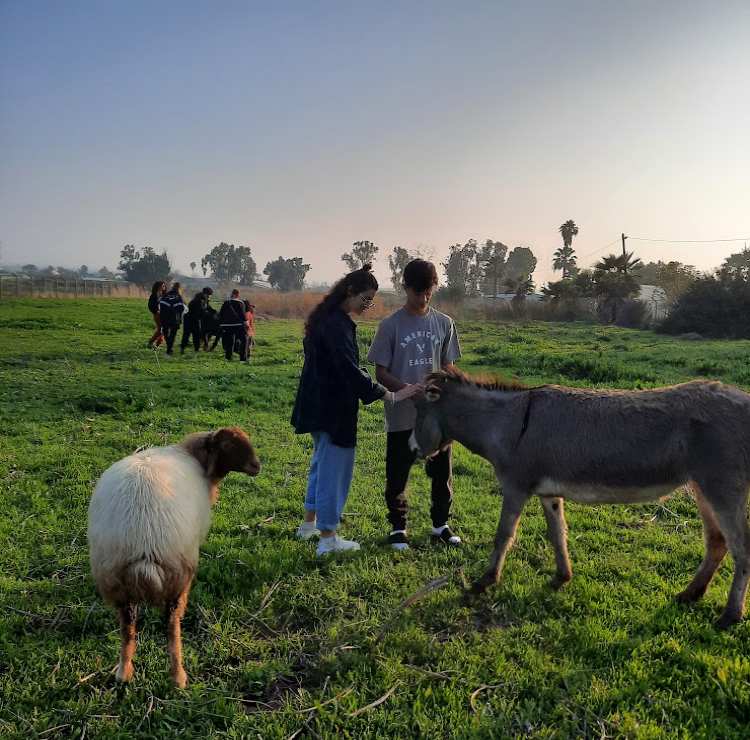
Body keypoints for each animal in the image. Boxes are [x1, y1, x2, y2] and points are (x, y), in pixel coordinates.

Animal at [88, 428, 262, 688]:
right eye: (228, 445)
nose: (256, 465)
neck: (194, 457)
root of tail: (143, 541)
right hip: (179, 578)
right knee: (172, 627)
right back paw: (178, 677)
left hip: (115, 580)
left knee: (127, 628)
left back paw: (123, 672)